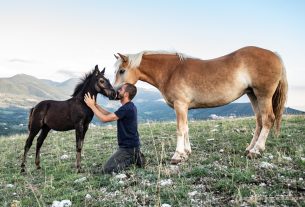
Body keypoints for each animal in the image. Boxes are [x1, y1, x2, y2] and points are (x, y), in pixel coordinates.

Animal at [112, 46, 288, 164]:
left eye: (121, 71)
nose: (115, 93)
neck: (171, 71)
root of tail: (275, 55)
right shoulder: (185, 107)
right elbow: (186, 128)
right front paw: (186, 152)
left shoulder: (180, 105)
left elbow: (180, 129)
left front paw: (177, 155)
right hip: (253, 95)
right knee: (259, 121)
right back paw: (250, 148)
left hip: (263, 95)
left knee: (268, 119)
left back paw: (256, 151)